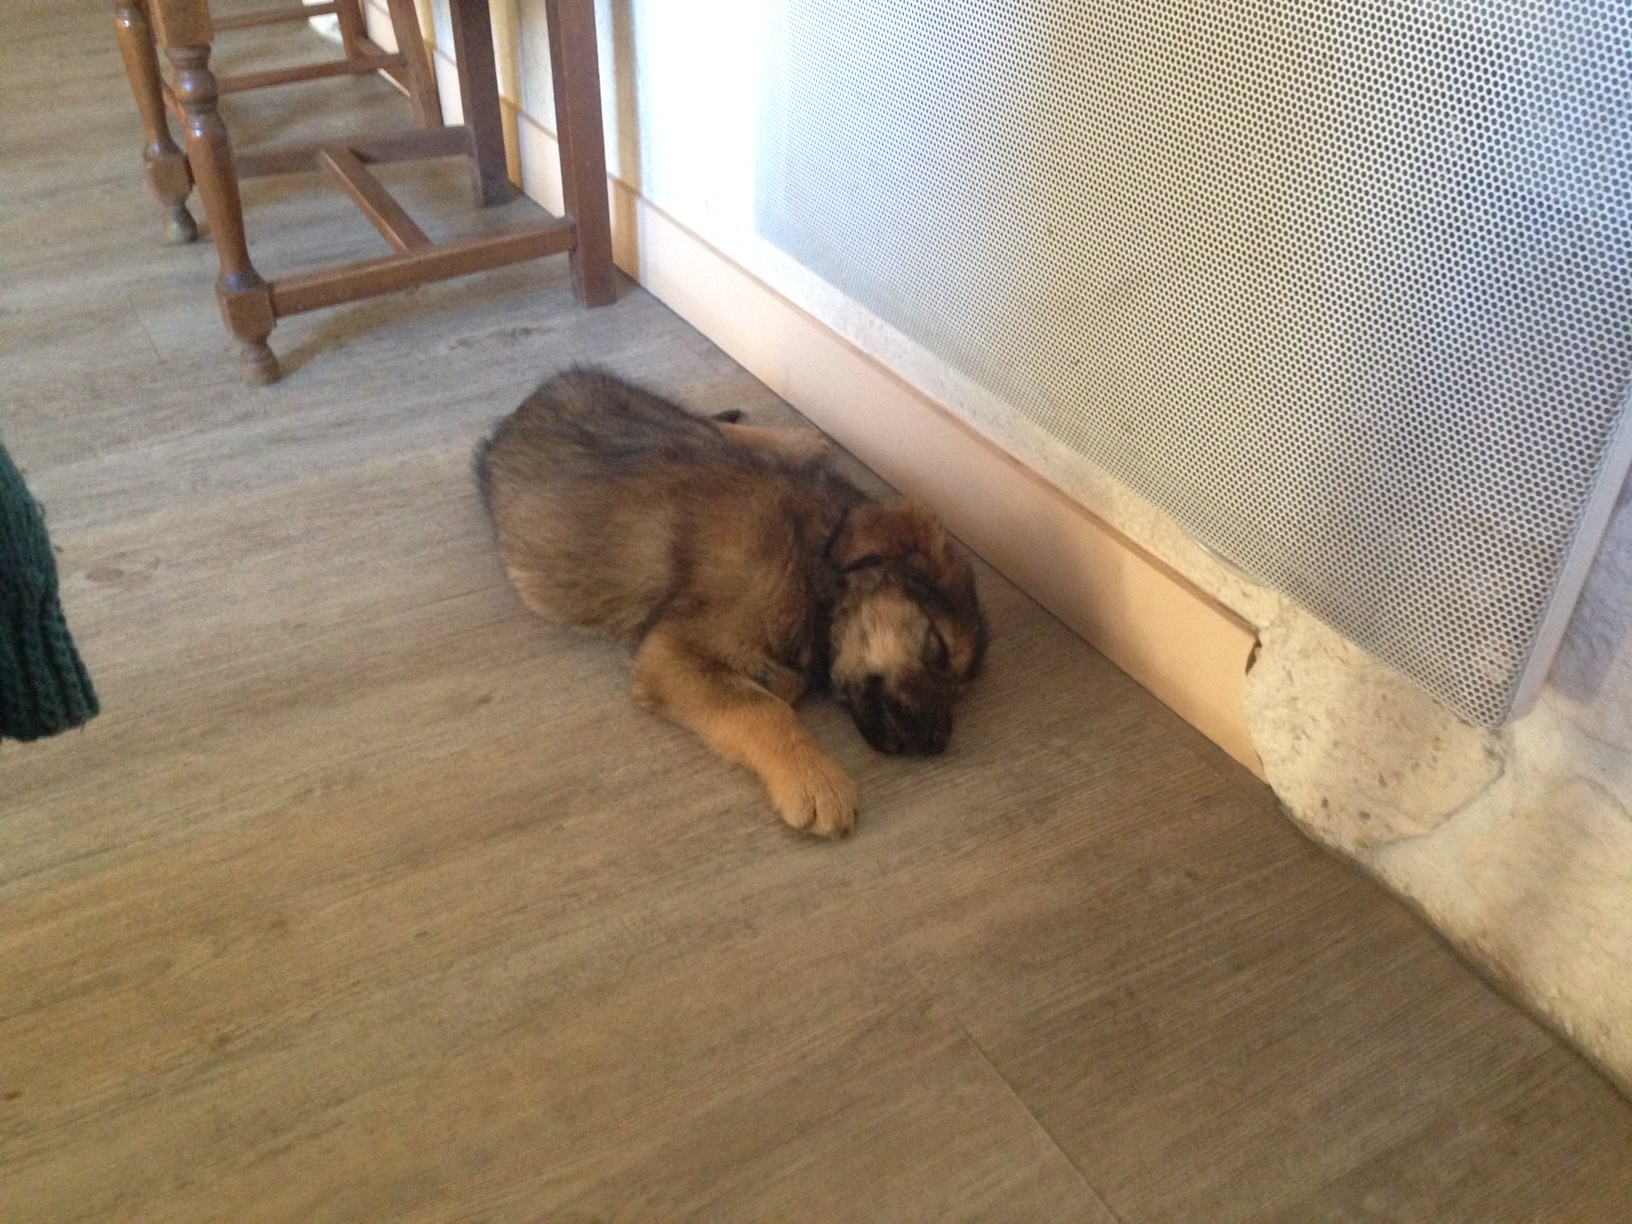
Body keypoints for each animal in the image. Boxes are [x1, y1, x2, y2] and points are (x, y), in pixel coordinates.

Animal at [475, 368, 987, 837]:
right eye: (939, 648)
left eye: (961, 687)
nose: (937, 743)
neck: (812, 560)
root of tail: (526, 404)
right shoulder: (673, 653)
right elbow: (763, 708)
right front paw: (815, 782)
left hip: (662, 414)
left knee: (709, 424)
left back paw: (793, 439)